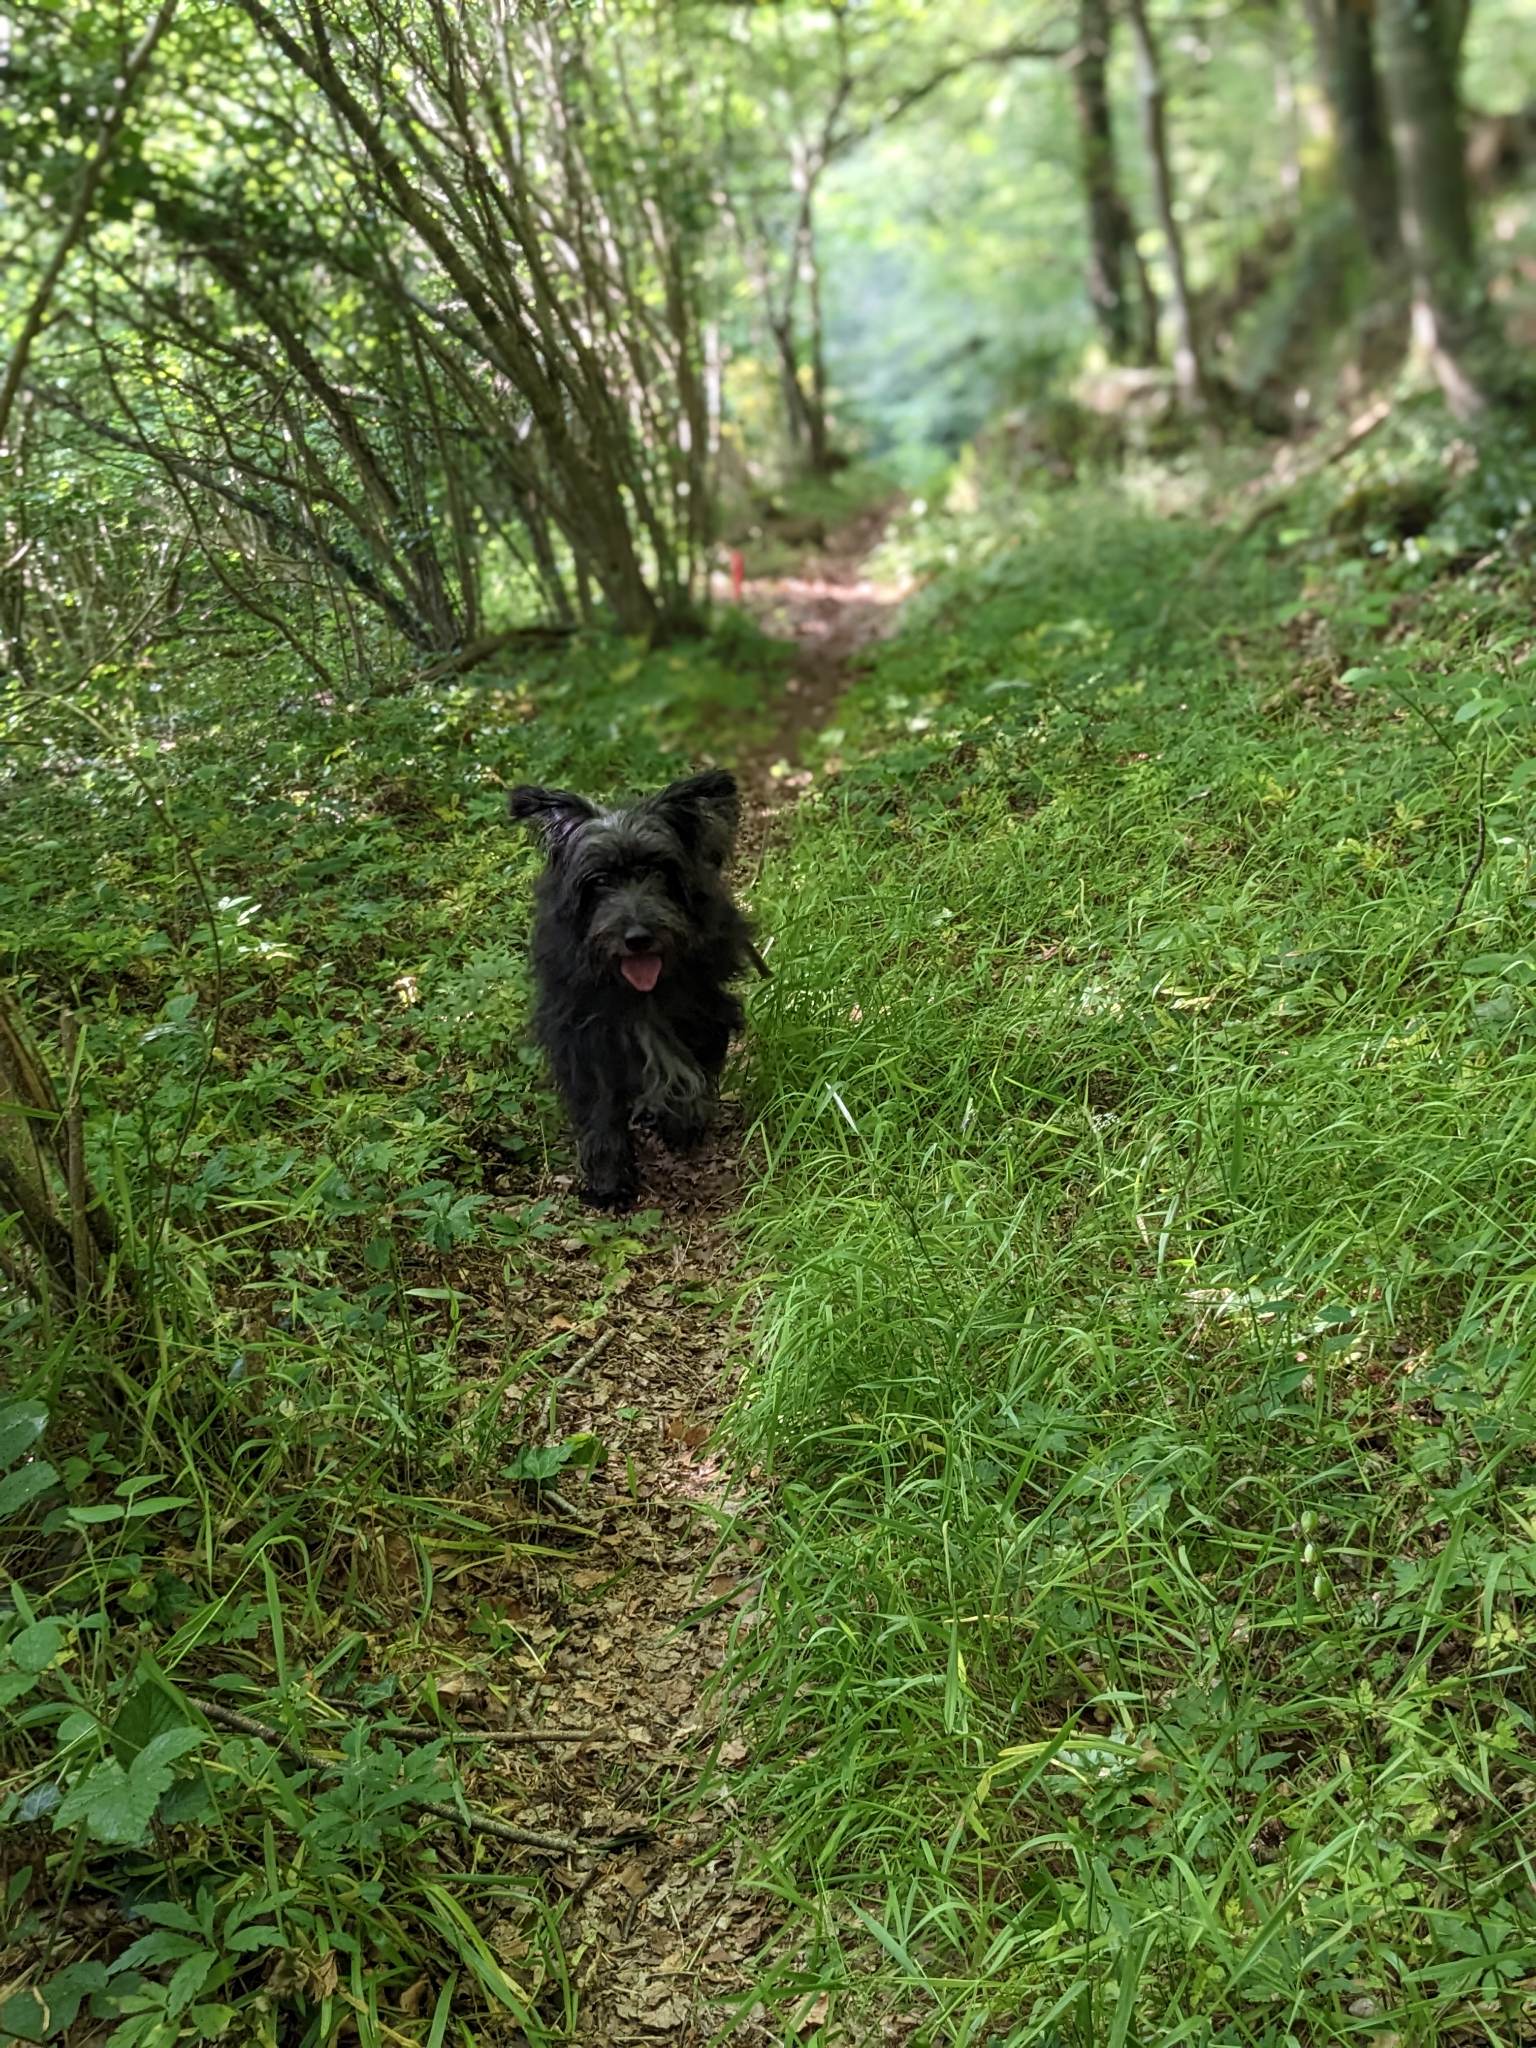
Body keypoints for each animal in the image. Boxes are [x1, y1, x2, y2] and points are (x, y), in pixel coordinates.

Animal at [509, 769, 759, 1209]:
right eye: (599, 880)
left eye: (658, 870)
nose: (638, 937)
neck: (635, 990)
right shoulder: (582, 1031)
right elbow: (599, 1107)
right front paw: (608, 1178)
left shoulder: (700, 1008)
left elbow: (688, 1068)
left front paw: (681, 1120)